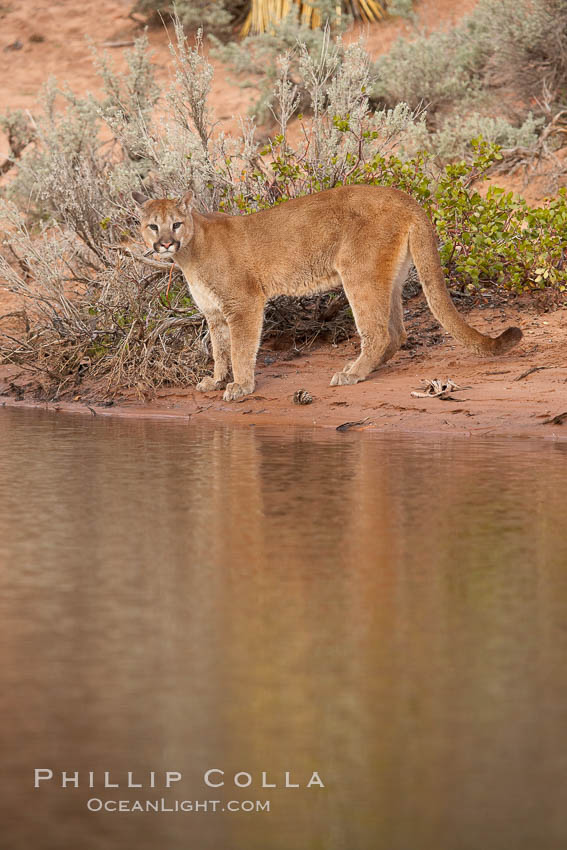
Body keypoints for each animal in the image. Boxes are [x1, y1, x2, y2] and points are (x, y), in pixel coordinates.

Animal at [134, 187, 524, 400]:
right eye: (152, 225)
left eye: (176, 224)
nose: (163, 243)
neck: (190, 252)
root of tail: (404, 196)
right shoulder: (215, 314)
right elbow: (220, 351)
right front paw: (216, 381)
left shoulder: (243, 303)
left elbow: (242, 350)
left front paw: (241, 386)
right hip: (389, 276)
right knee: (397, 332)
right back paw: (361, 368)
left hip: (359, 273)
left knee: (379, 331)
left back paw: (352, 374)